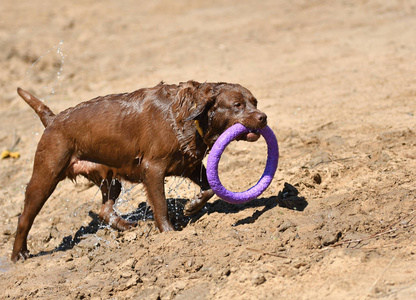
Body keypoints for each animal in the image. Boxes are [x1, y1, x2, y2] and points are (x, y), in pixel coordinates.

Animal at [13, 81, 268, 262]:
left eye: (255, 102)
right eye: (237, 105)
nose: (263, 117)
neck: (185, 114)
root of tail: (53, 119)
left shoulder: (190, 164)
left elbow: (209, 189)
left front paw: (192, 206)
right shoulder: (152, 169)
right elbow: (161, 205)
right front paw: (170, 234)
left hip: (109, 177)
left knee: (105, 209)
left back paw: (127, 226)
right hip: (46, 175)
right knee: (25, 217)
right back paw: (19, 254)